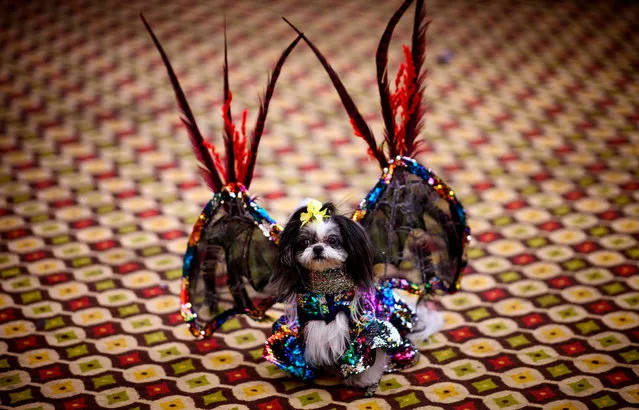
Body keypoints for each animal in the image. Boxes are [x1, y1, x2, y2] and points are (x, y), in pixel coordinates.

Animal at [264, 200, 440, 392]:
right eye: (305, 242)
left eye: (333, 240)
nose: (317, 248)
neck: (327, 289)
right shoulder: (306, 326)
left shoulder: (365, 329)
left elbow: (370, 355)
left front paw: (364, 380)